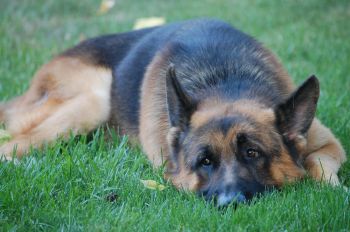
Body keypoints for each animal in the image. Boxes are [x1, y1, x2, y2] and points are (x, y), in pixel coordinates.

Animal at [0, 19, 344, 206]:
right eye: (204, 161)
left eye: (252, 153)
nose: (229, 204)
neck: (226, 81)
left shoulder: (330, 145)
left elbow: (319, 166)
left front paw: (334, 192)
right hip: (94, 99)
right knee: (11, 144)